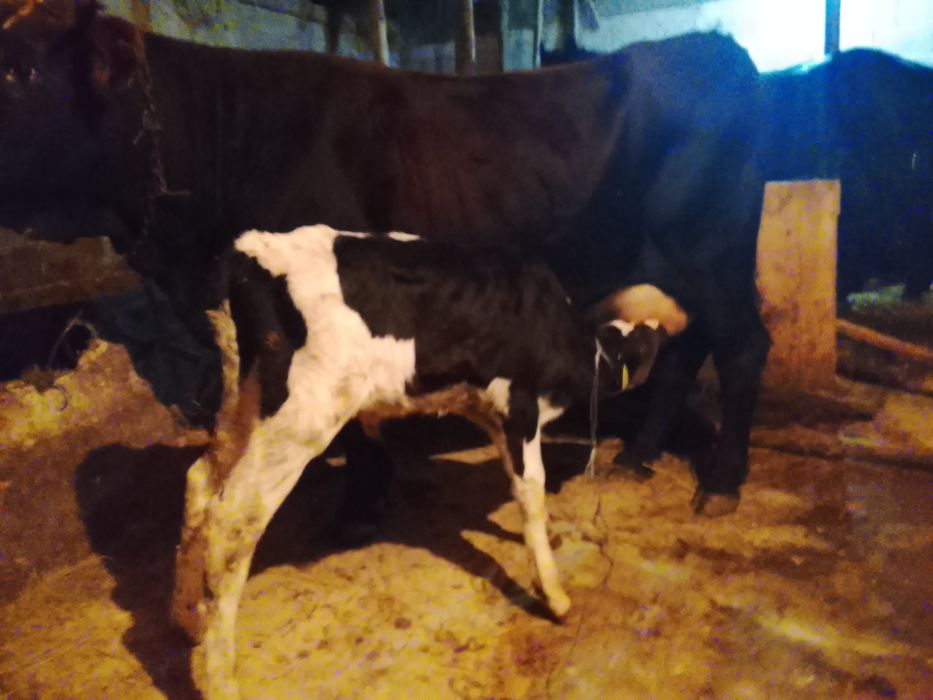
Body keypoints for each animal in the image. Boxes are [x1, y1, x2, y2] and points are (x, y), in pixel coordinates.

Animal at [0, 1, 768, 518]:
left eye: (23, 70)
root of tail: (713, 47)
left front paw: (358, 498)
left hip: (715, 256)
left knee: (740, 350)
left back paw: (722, 482)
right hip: (680, 268)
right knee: (687, 350)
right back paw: (638, 456)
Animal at [172, 223, 664, 697]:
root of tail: (252, 249)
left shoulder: (484, 406)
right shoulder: (519, 406)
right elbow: (532, 494)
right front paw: (555, 595)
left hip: (245, 397)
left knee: (201, 482)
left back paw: (188, 617)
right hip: (302, 418)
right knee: (233, 521)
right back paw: (219, 678)